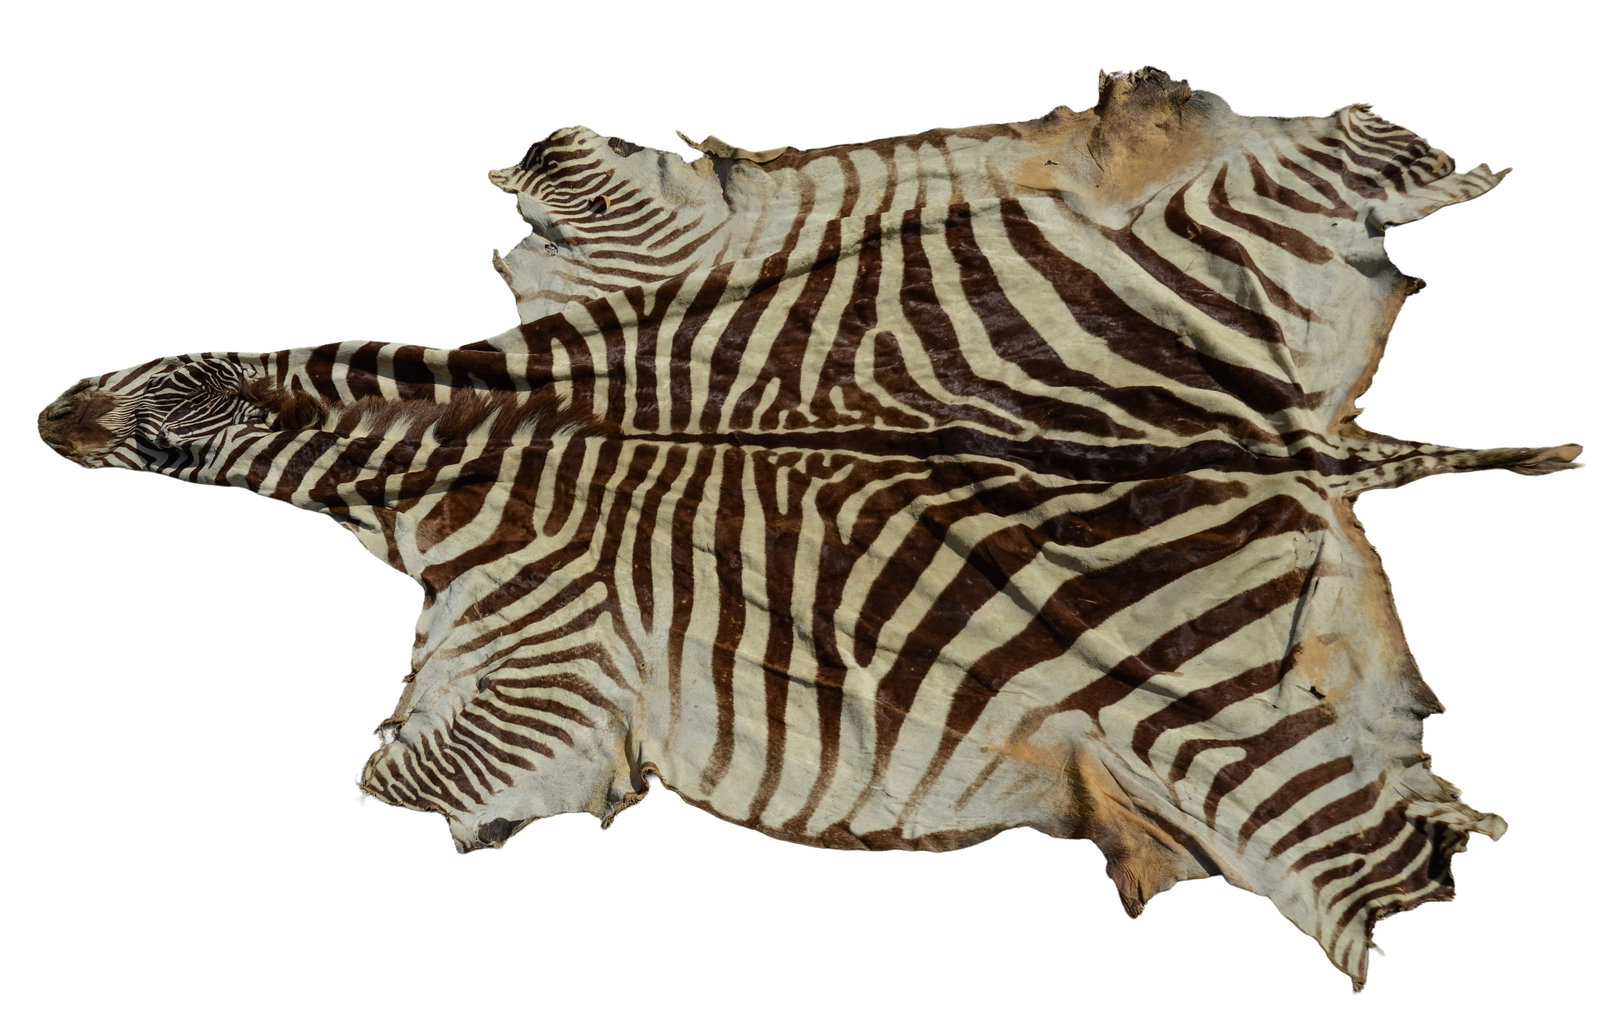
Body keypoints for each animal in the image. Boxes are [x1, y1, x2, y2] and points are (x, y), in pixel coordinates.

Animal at [37, 68, 1579, 986]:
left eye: (173, 414)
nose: (59, 416)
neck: (473, 432)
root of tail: (1301, 449)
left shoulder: (524, 671)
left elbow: (411, 779)